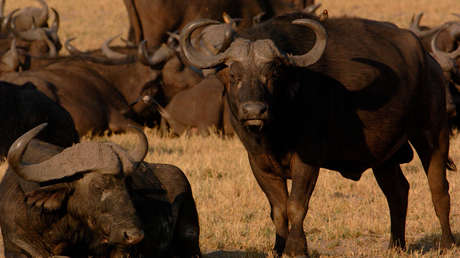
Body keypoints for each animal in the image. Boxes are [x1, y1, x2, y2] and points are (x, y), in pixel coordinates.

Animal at [182, 11, 456, 256]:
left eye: (272, 73)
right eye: (234, 75)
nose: (254, 110)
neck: (276, 131)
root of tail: (429, 62)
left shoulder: (307, 161)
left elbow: (296, 205)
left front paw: (296, 248)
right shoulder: (259, 164)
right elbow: (278, 210)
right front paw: (278, 248)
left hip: (433, 133)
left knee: (438, 188)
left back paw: (446, 243)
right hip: (385, 154)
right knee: (397, 191)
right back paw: (396, 245)